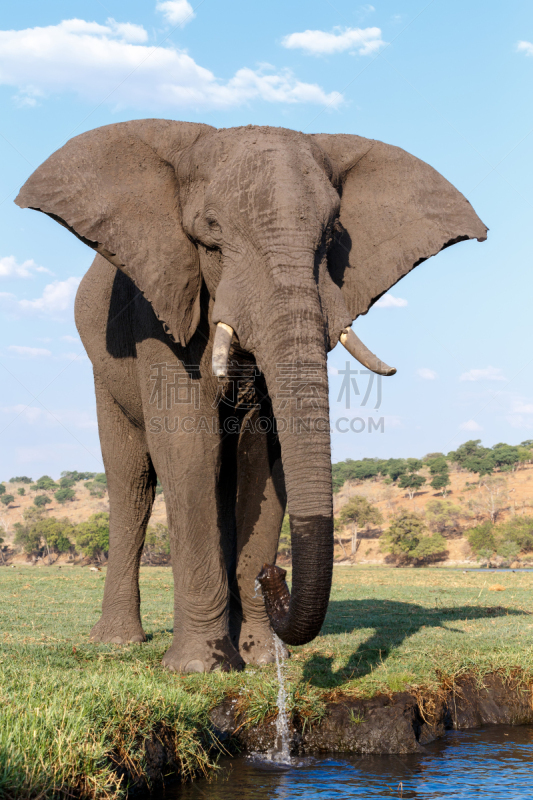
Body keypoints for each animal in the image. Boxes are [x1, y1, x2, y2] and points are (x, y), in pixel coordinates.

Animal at [15, 119, 486, 672]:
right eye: (210, 236)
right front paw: (199, 668)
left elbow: (266, 457)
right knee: (132, 482)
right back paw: (117, 642)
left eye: (332, 237)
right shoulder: (159, 308)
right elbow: (188, 450)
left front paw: (260, 660)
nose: (274, 576)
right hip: (103, 366)